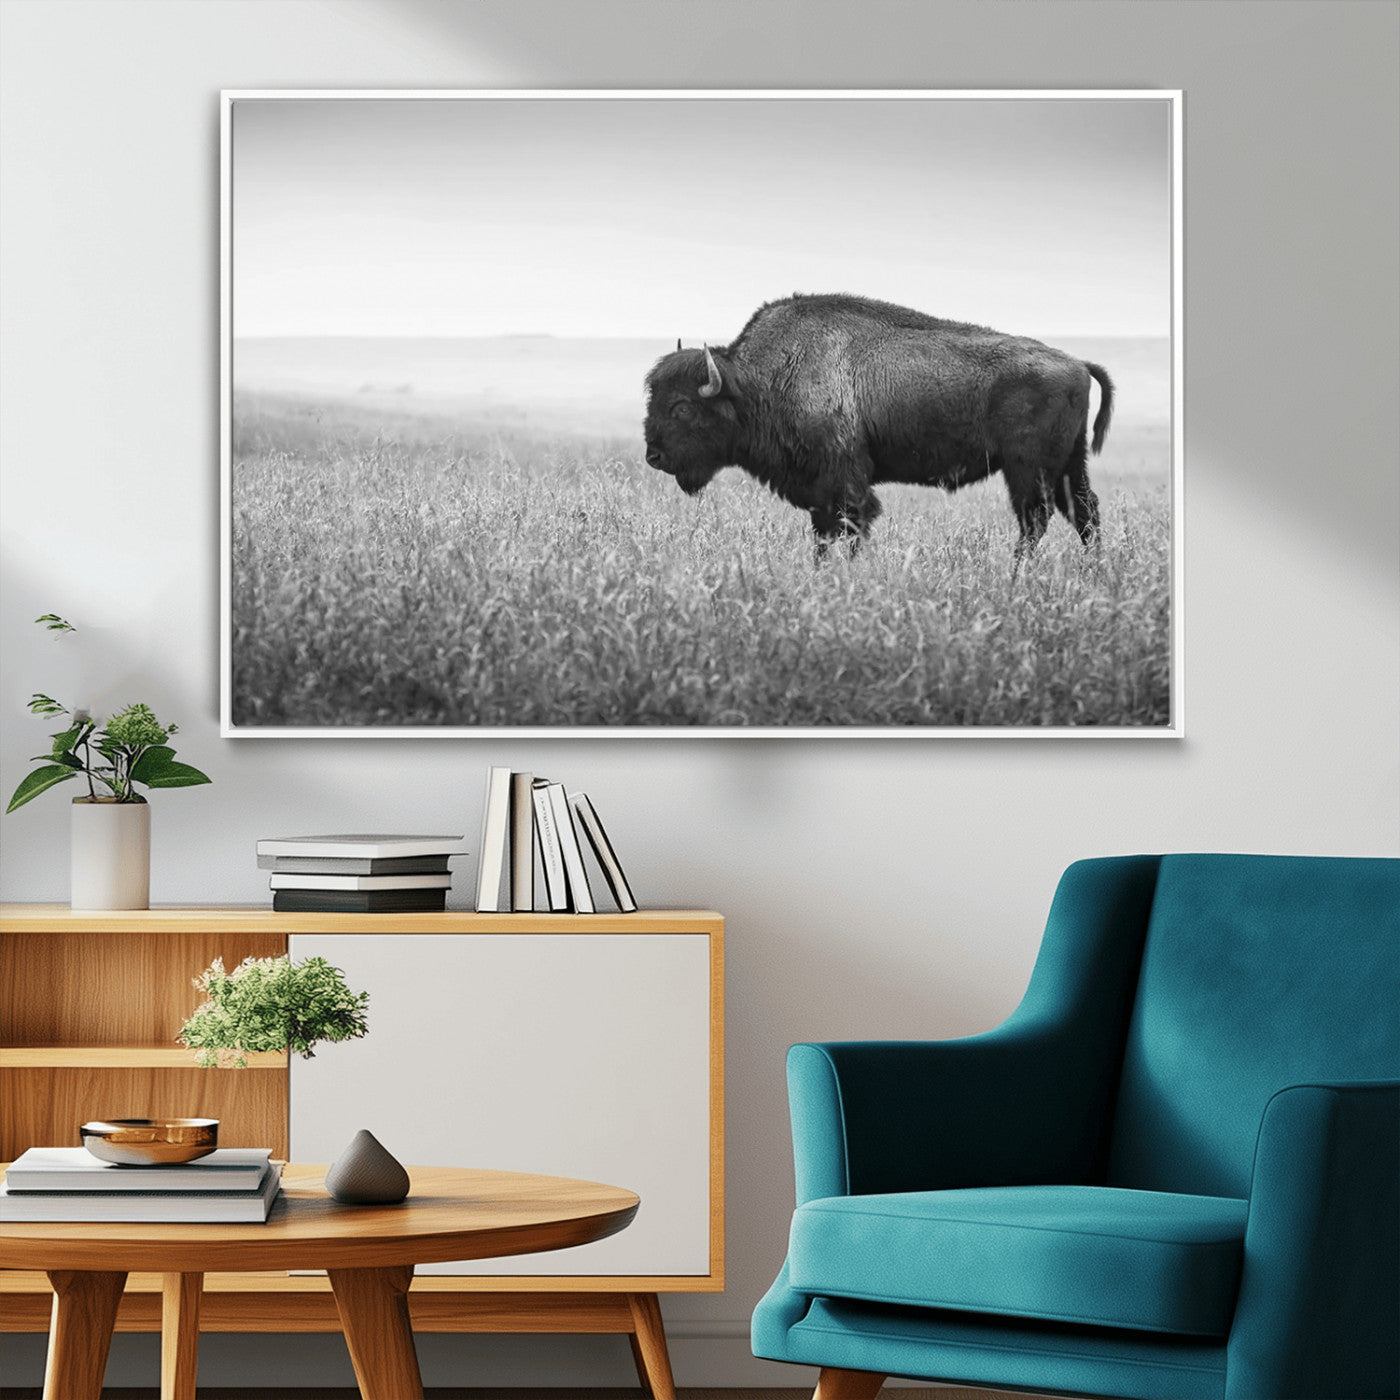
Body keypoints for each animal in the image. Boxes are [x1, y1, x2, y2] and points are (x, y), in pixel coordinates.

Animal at [643, 293, 1113, 558]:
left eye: (682, 407)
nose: (653, 456)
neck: (757, 382)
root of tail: (1077, 363)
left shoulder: (845, 483)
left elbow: (851, 526)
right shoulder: (820, 493)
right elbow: (823, 536)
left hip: (1028, 470)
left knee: (1036, 520)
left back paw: (1017, 575)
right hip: (1069, 466)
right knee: (1084, 514)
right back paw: (1093, 573)